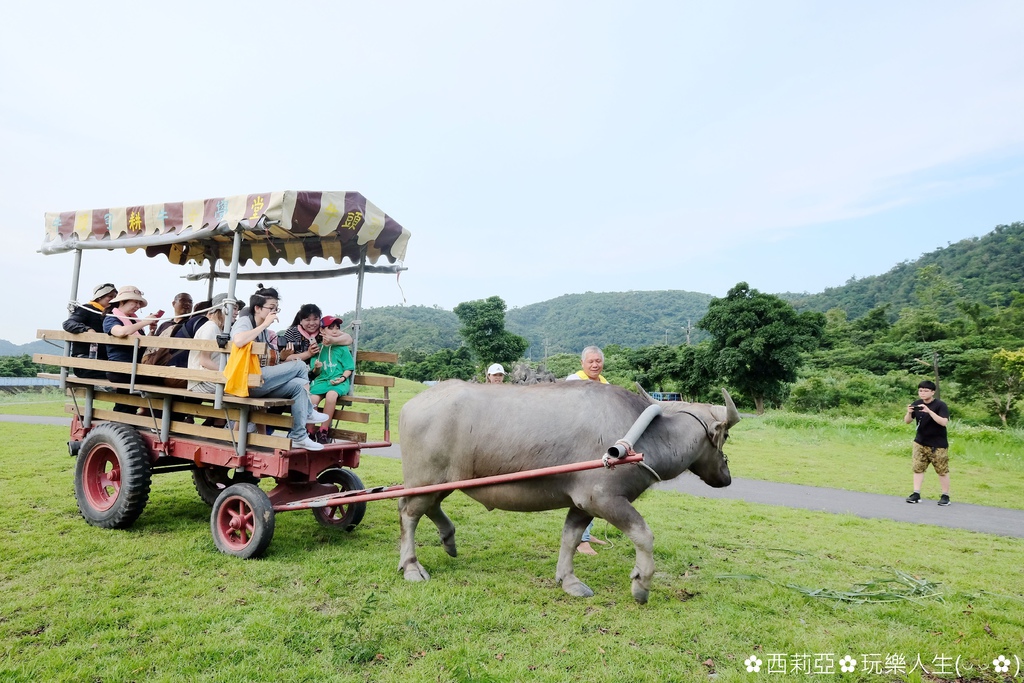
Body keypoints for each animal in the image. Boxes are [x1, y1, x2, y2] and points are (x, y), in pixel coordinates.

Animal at [395, 378, 741, 602]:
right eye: (725, 436)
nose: (726, 477)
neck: (642, 437)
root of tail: (411, 405)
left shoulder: (581, 504)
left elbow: (570, 538)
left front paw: (569, 580)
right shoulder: (603, 499)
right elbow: (644, 535)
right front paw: (641, 584)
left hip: (444, 481)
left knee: (426, 507)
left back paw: (448, 539)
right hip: (425, 479)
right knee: (409, 513)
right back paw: (411, 566)